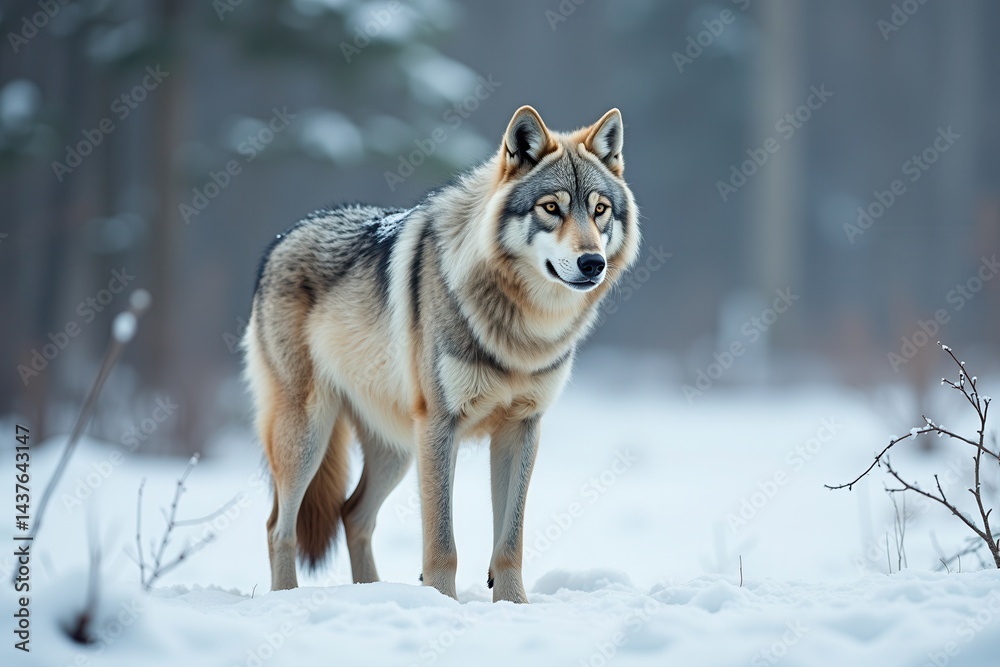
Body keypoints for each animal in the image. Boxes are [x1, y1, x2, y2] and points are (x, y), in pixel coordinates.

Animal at [244, 105, 640, 603]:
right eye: (551, 208)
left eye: (600, 210)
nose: (592, 263)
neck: (522, 330)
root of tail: (284, 237)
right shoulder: (439, 424)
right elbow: (442, 543)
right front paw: (442, 604)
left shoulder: (521, 427)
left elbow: (510, 541)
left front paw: (514, 605)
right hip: (310, 435)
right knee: (279, 526)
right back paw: (287, 596)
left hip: (395, 448)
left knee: (352, 514)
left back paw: (373, 594)